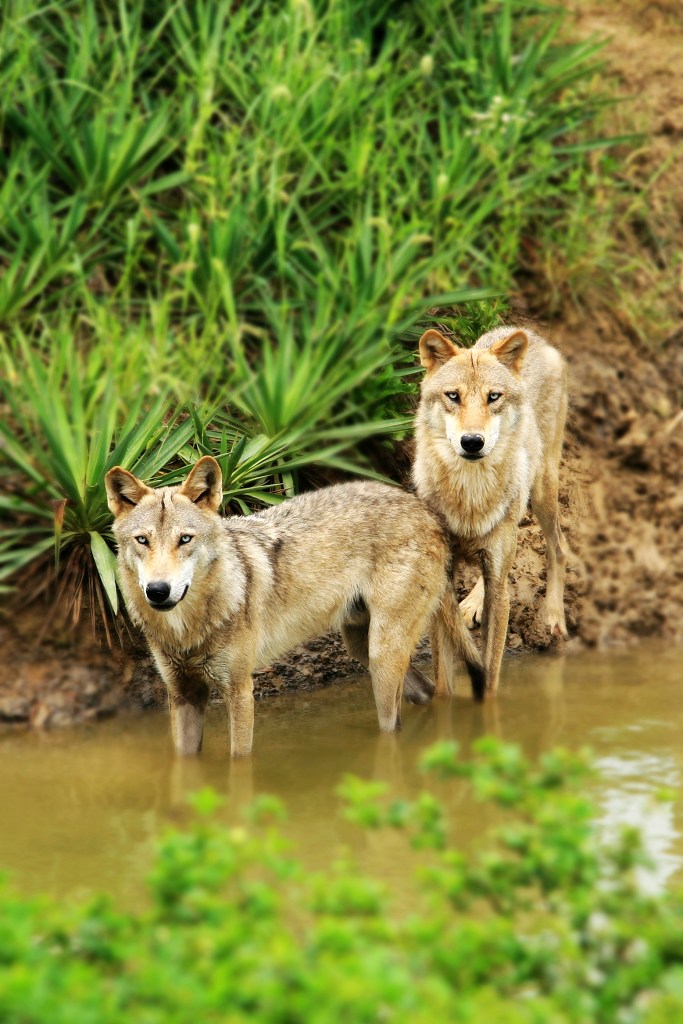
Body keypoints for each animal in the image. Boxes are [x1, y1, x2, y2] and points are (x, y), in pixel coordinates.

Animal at [104, 460, 483, 757]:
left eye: (185, 539)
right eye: (142, 540)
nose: (158, 591)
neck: (188, 627)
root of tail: (425, 509)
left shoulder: (240, 692)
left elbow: (238, 763)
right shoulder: (183, 695)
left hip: (382, 658)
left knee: (394, 726)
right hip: (361, 648)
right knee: (428, 693)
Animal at [413, 325, 569, 696]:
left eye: (493, 397)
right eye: (453, 396)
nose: (472, 442)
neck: (470, 499)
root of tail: (531, 334)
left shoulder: (501, 594)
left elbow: (491, 675)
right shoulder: (443, 584)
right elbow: (443, 682)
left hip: (542, 492)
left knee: (559, 547)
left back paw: (554, 618)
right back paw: (471, 605)